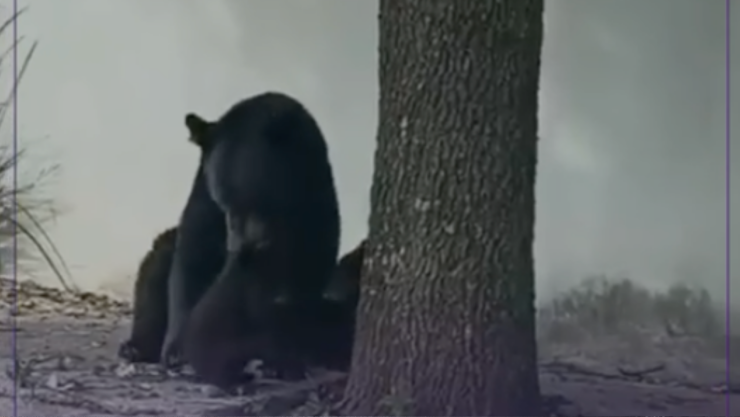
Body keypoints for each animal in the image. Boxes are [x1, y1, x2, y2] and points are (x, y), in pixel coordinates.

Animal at [161, 91, 341, 370]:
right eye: (226, 202)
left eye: (258, 197)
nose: (242, 245)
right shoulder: (207, 196)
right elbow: (195, 250)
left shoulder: (312, 197)